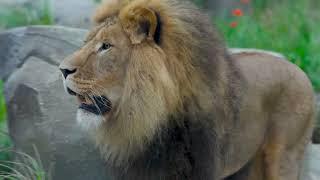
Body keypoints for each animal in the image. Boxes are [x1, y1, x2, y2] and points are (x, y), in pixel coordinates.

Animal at [58, 0, 314, 179]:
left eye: (106, 46)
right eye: (87, 43)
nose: (62, 70)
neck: (152, 118)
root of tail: (300, 70)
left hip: (283, 157)